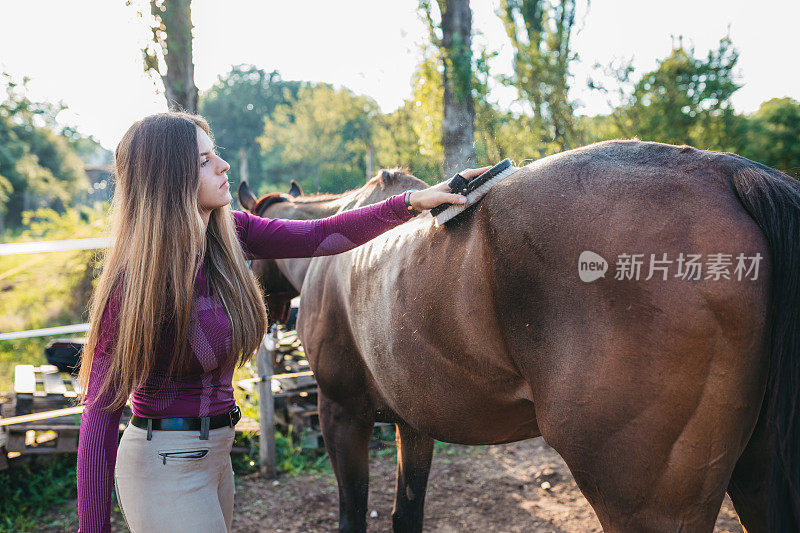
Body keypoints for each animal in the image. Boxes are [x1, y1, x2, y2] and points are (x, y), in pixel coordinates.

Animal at [238, 139, 800, 528]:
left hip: (647, 504)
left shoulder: (341, 414)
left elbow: (354, 513)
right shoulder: (413, 425)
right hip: (756, 474)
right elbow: (406, 514)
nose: (272, 318)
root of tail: (728, 173)